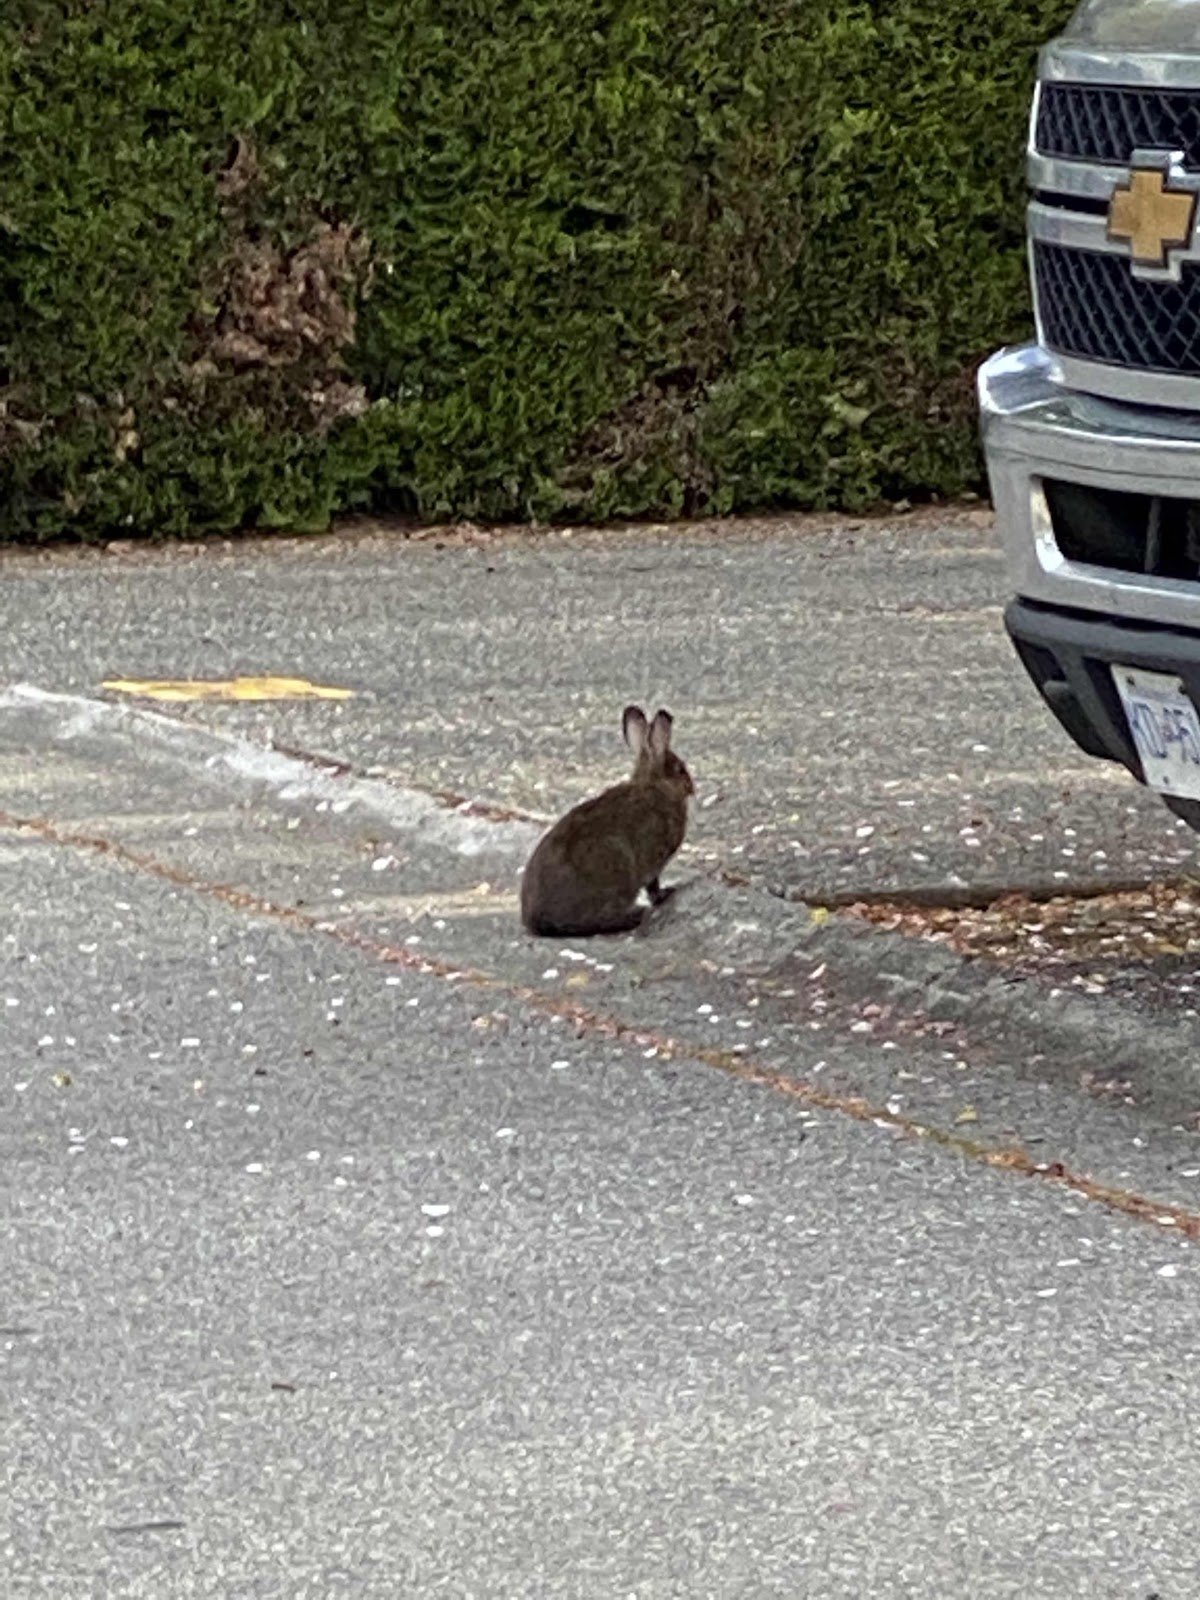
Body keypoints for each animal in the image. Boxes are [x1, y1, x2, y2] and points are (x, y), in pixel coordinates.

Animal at [520, 705, 694, 937]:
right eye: (680, 769)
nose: (692, 788)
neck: (655, 787)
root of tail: (541, 921)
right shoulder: (654, 858)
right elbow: (653, 885)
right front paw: (665, 894)